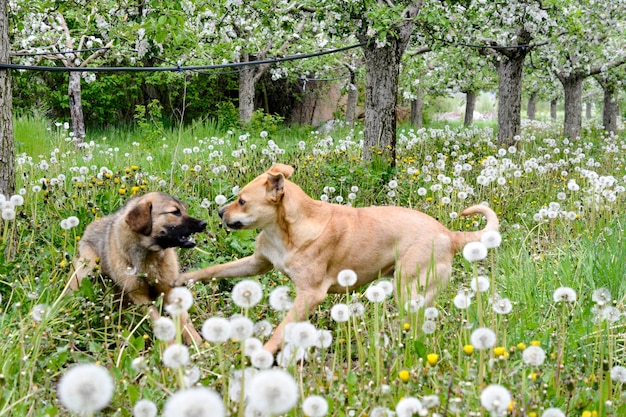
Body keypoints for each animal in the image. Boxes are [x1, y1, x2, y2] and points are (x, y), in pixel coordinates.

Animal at [70, 190, 207, 342]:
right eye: (175, 212)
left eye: (184, 210)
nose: (204, 223)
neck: (149, 258)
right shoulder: (140, 296)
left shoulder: (168, 289)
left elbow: (184, 321)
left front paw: (198, 343)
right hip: (89, 270)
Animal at [177, 162, 498, 352]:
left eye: (242, 201)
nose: (220, 212)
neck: (286, 230)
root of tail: (449, 234)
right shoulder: (257, 263)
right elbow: (215, 269)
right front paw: (182, 278)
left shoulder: (310, 294)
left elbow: (280, 332)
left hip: (410, 290)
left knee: (420, 327)